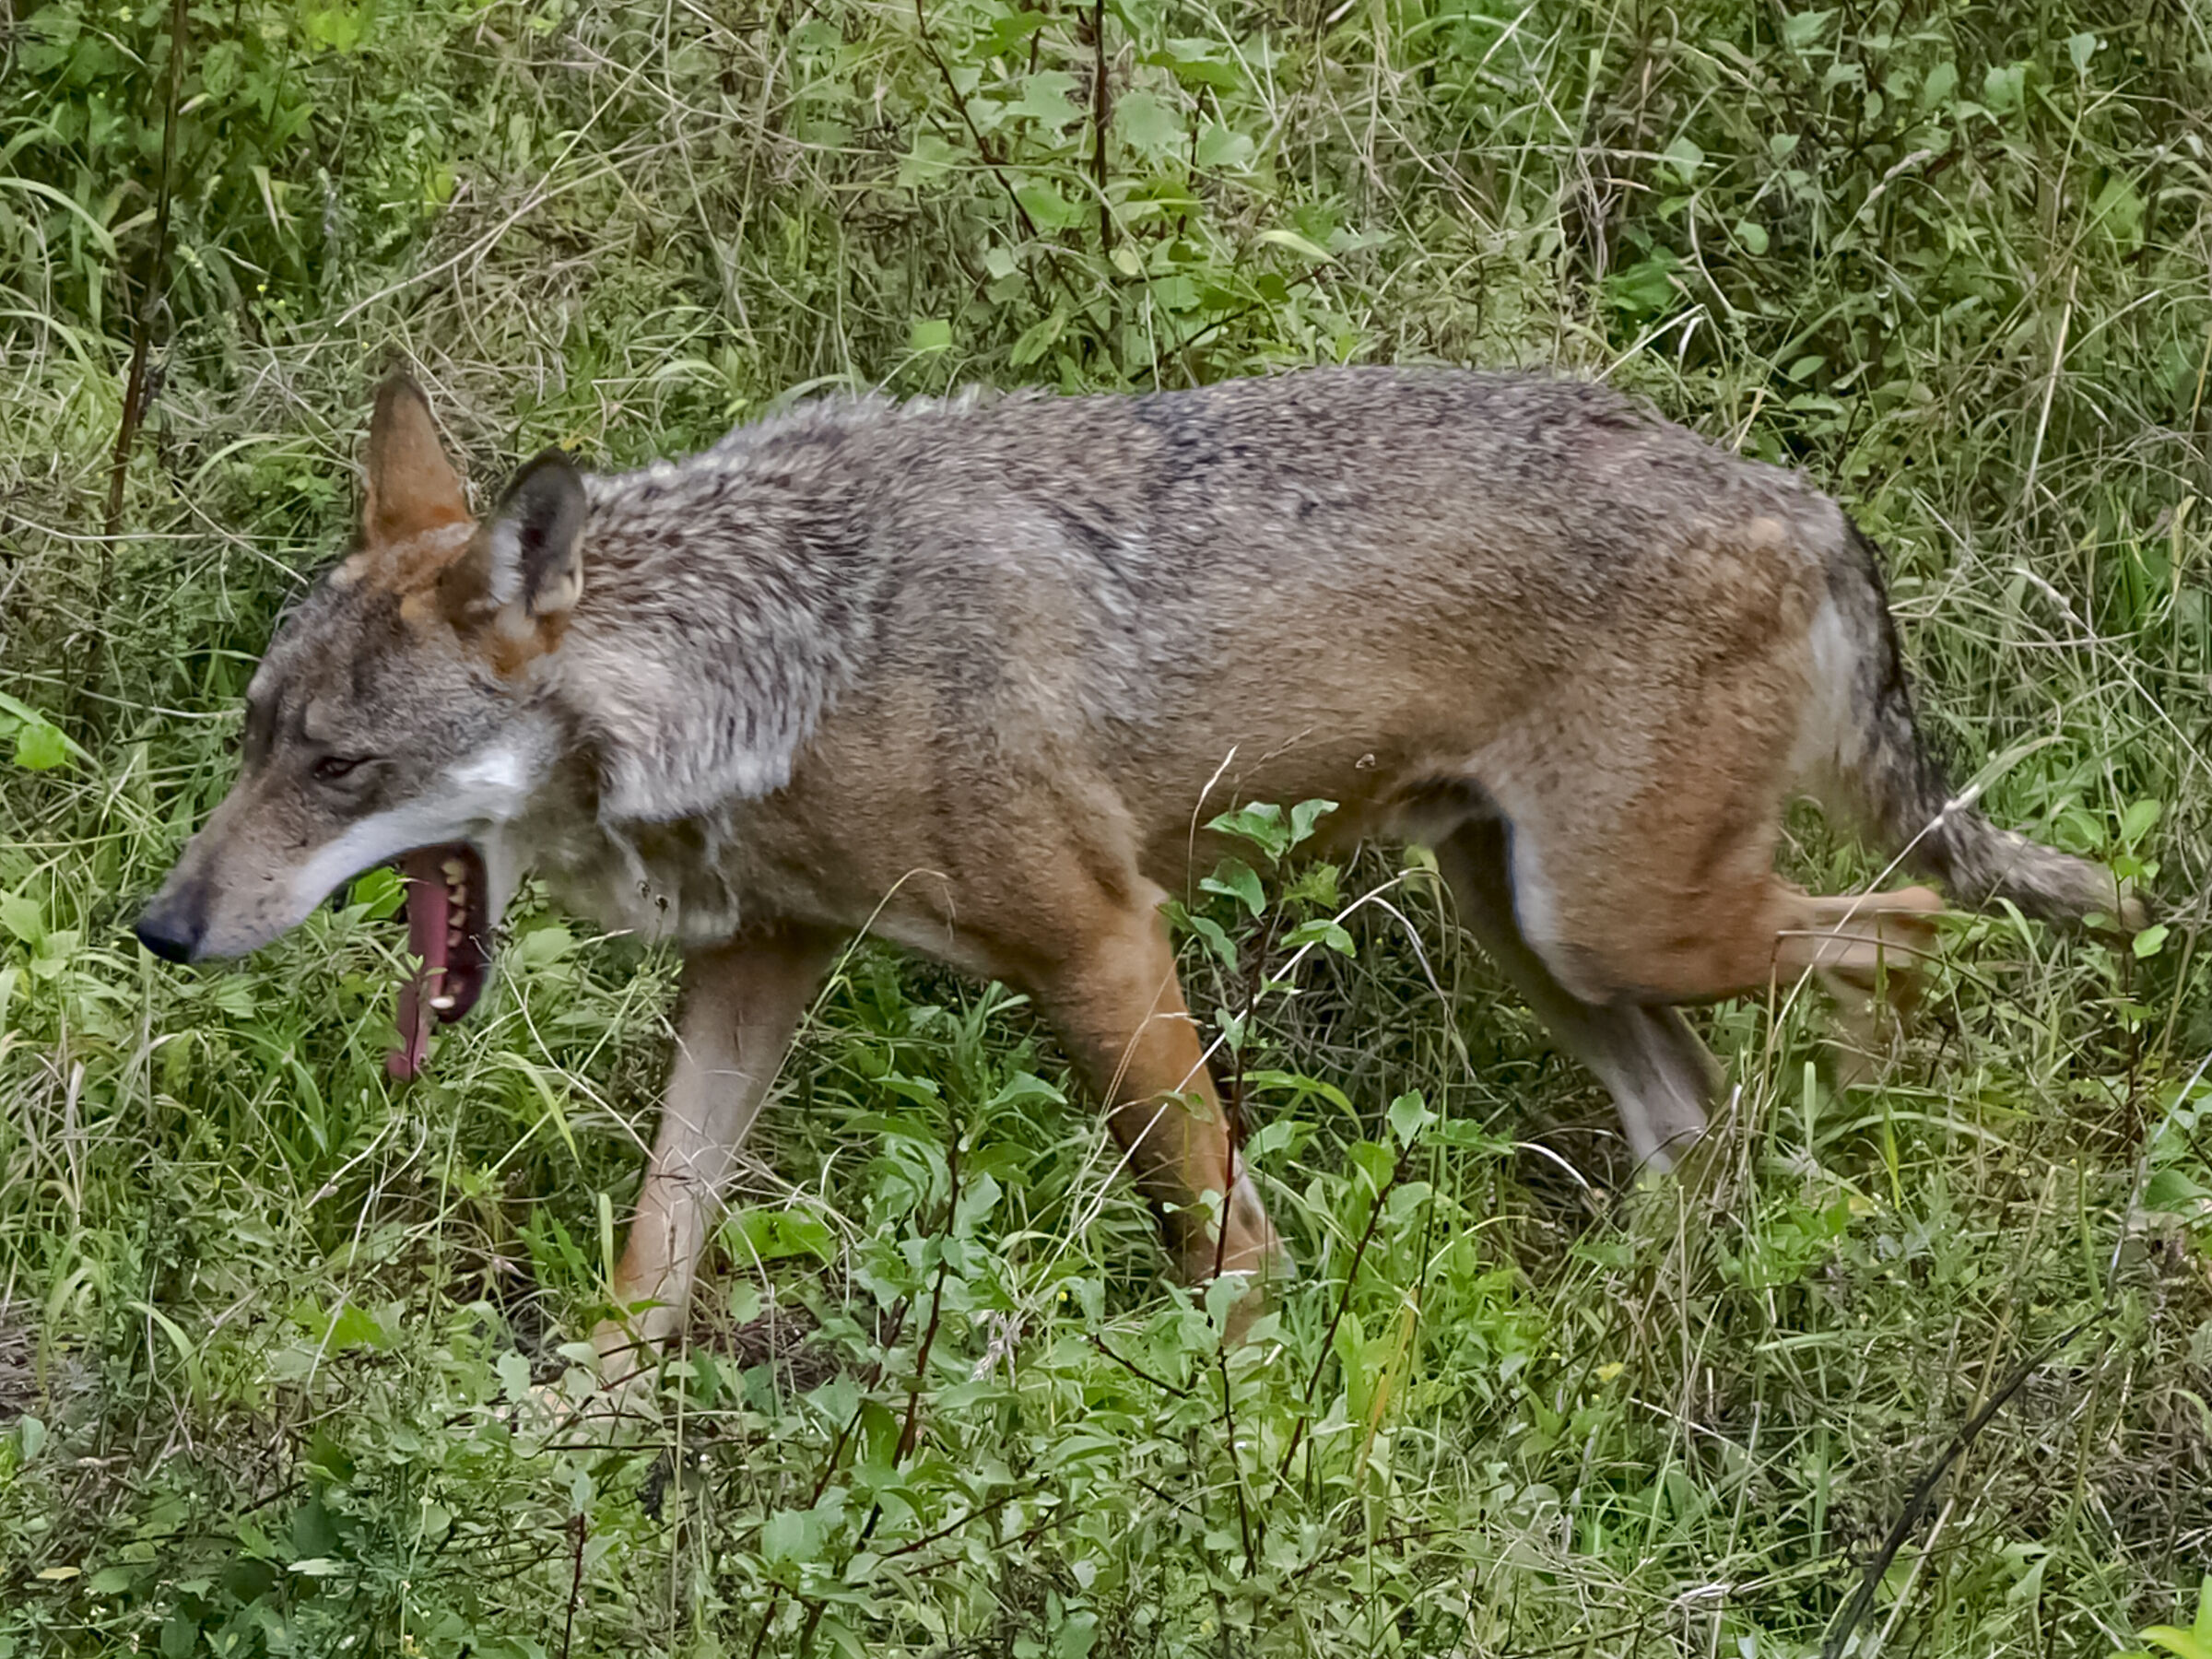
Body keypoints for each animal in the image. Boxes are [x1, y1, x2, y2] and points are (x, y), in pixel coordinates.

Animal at [136, 366, 2137, 1378]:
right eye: (250, 741)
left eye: (338, 770)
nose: (160, 927)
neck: (801, 650)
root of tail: (1805, 500)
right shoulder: (764, 958)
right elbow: (657, 1242)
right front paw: (582, 1442)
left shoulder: (1101, 946)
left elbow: (1223, 1234)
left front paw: (1245, 1433)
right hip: (1545, 937)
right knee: (1705, 1110)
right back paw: (1662, 1306)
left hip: (1624, 921)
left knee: (1903, 932)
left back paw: (1859, 1203)